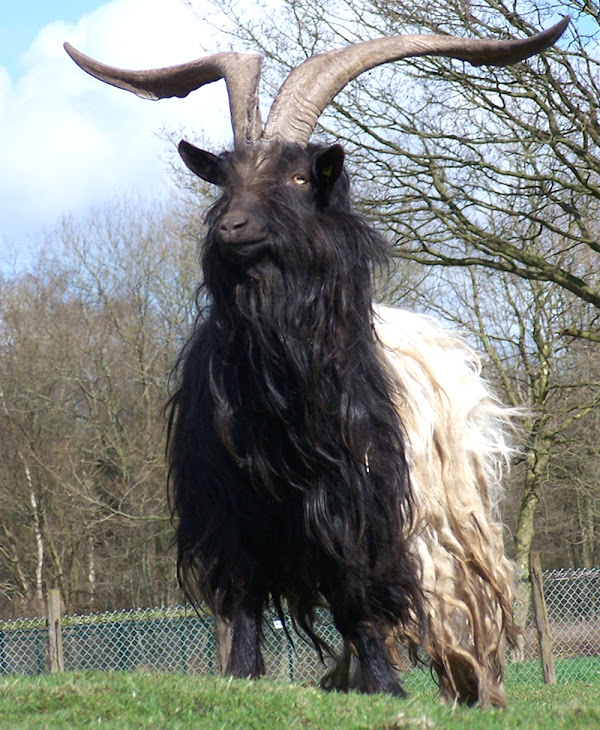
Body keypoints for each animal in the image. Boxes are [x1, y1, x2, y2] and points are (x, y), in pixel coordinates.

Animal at [64, 15, 568, 700]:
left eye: (300, 178)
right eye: (226, 179)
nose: (232, 227)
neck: (280, 395)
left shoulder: (361, 505)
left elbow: (359, 596)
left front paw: (385, 688)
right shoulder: (230, 510)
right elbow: (245, 600)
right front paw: (243, 677)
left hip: (452, 525)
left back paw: (475, 693)